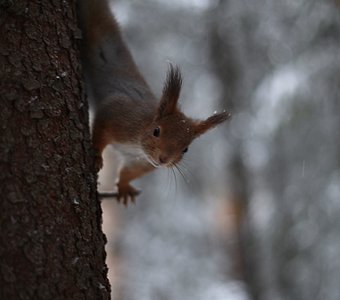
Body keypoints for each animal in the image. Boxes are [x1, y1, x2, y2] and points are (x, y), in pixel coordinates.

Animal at [77, 0, 231, 205]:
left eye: (186, 149)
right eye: (156, 131)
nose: (163, 159)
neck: (137, 143)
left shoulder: (140, 162)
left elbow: (128, 172)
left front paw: (124, 186)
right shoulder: (117, 114)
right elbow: (101, 129)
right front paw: (96, 154)